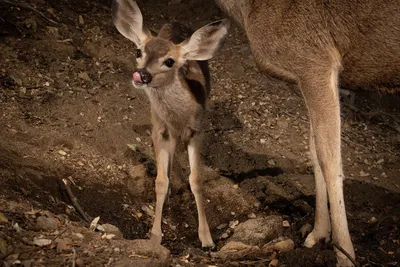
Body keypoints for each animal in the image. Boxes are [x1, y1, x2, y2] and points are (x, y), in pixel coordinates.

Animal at [111, 0, 228, 249]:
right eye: (138, 51)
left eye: (169, 61)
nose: (142, 74)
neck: (179, 117)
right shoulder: (159, 129)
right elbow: (160, 180)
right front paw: (155, 235)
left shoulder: (198, 130)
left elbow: (197, 180)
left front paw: (207, 238)